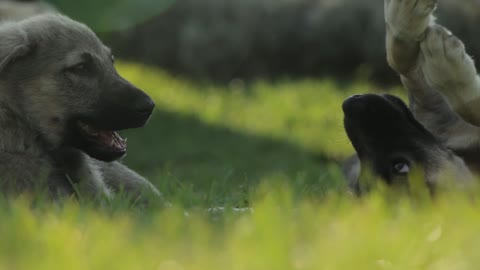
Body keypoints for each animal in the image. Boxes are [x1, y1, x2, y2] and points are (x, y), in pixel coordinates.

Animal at [344, 0, 480, 194]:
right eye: (400, 166)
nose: (349, 103)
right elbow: (470, 107)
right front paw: (448, 68)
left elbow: (399, 61)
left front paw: (403, 22)